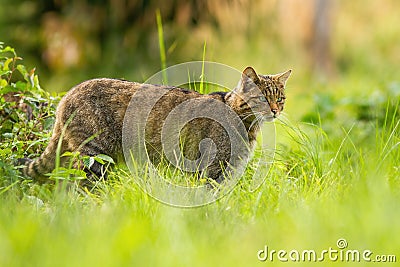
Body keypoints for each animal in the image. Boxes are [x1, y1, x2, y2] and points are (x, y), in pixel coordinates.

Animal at [19, 66, 290, 185]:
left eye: (280, 98)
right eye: (263, 98)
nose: (275, 111)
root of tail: (67, 95)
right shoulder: (211, 170)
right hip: (95, 157)